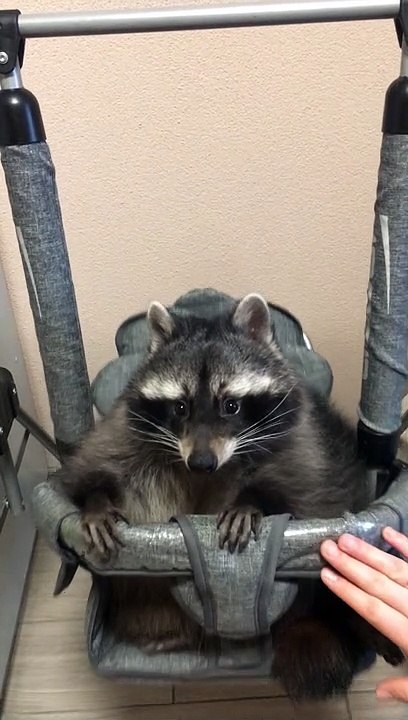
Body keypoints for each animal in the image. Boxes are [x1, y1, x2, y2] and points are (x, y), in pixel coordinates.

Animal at [54, 293, 404, 697]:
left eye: (231, 405)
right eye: (180, 407)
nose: (201, 462)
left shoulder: (303, 439)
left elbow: (304, 485)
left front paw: (253, 500)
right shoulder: (128, 428)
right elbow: (96, 465)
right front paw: (96, 499)